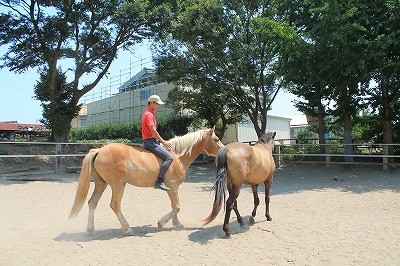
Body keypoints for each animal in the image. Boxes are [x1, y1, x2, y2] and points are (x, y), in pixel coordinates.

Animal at [70, 127, 223, 235]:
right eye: (216, 139)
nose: (223, 150)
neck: (177, 157)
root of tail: (99, 150)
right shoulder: (172, 186)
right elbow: (177, 206)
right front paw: (162, 222)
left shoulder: (174, 188)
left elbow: (175, 206)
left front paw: (177, 223)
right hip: (118, 185)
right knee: (115, 205)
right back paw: (127, 229)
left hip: (102, 184)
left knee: (92, 203)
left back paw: (90, 229)